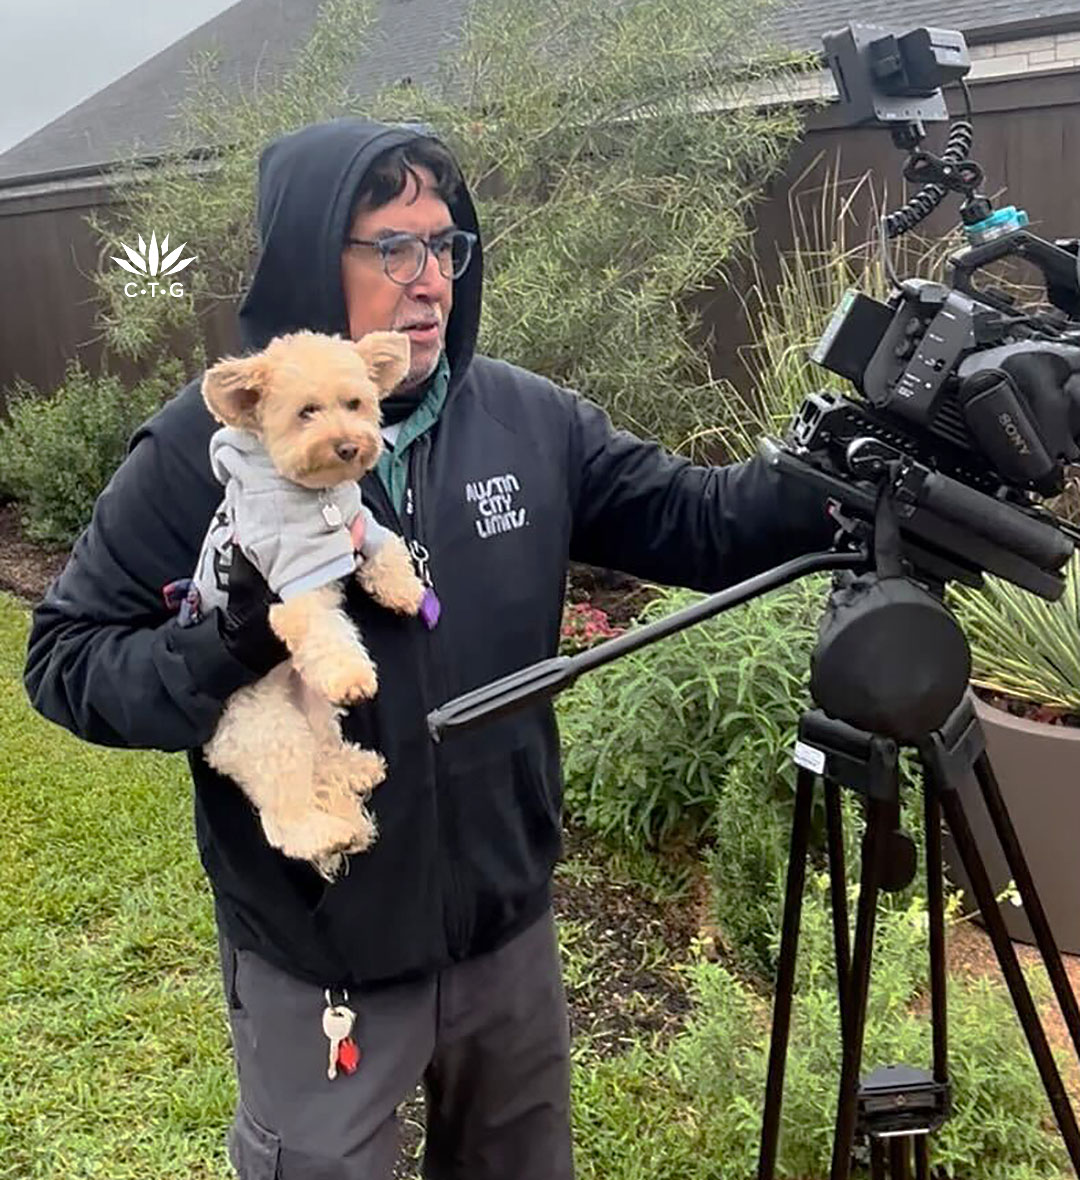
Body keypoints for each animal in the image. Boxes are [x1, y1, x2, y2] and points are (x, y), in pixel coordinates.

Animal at [192, 330, 424, 877]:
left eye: (354, 403)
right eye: (306, 412)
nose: (349, 445)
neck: (315, 497)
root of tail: (216, 746)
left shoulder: (362, 524)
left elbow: (387, 551)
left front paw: (405, 591)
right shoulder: (292, 583)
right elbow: (324, 632)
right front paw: (352, 674)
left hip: (316, 711)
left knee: (324, 760)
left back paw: (353, 768)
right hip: (274, 733)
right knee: (283, 820)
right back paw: (325, 835)